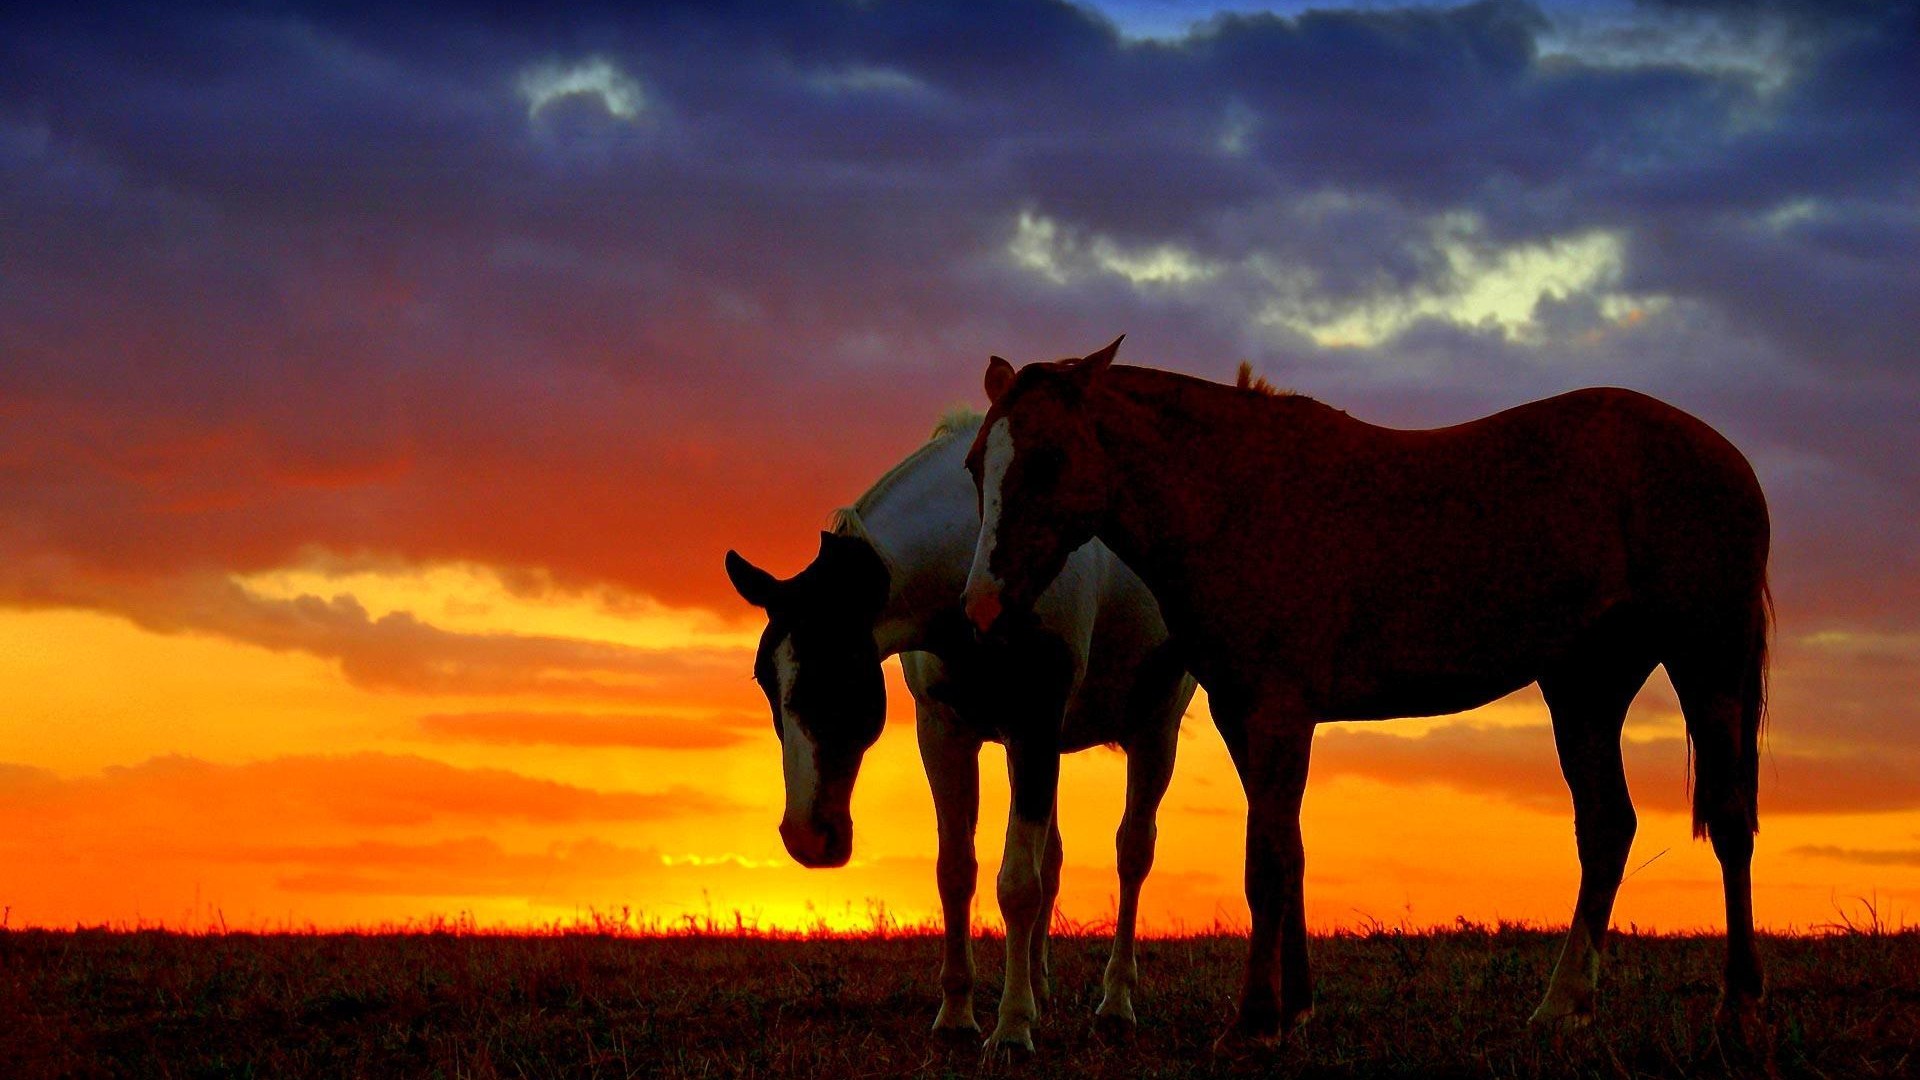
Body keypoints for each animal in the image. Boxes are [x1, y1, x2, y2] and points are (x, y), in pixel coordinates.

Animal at [721, 407, 1190, 1045]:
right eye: (764, 680)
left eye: (839, 672)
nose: (806, 838)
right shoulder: (946, 733)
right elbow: (958, 872)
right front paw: (958, 1014)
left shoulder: (1035, 722)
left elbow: (1016, 884)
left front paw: (1011, 1026)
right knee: (1053, 859)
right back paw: (1040, 986)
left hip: (1152, 730)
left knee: (1133, 854)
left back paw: (1115, 1001)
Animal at [960, 336, 1766, 1045]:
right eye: (975, 466)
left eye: (1047, 459)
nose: (984, 607)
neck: (1238, 498)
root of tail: (1725, 456)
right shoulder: (1239, 713)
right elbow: (1287, 850)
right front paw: (1293, 1009)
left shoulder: (1278, 711)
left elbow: (1265, 860)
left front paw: (1253, 1023)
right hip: (1585, 688)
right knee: (1606, 828)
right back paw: (1562, 1008)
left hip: (1708, 663)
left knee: (1727, 824)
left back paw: (1738, 1010)